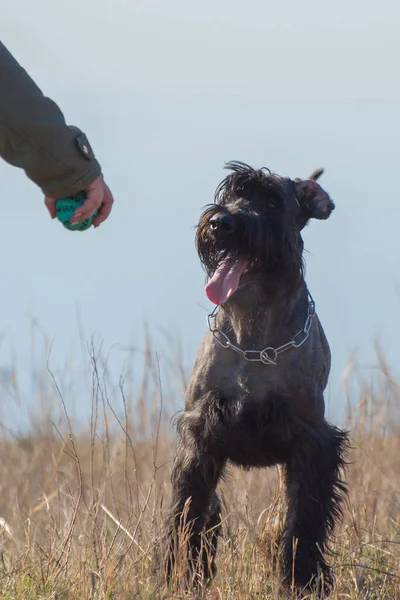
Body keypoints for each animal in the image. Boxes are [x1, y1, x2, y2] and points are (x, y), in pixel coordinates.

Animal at [162, 161, 346, 596]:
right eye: (229, 193)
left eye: (272, 201)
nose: (221, 222)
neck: (254, 337)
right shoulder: (200, 438)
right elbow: (188, 512)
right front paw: (182, 576)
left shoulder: (313, 444)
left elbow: (304, 521)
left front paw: (302, 580)